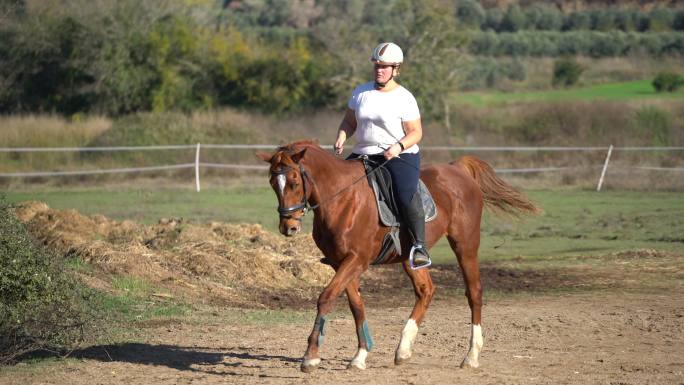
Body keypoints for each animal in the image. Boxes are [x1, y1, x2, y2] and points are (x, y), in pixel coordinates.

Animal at [256, 140, 540, 370]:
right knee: (426, 291)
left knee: (474, 293)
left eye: (294, 182)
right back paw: (403, 350)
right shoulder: (341, 263)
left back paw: (471, 357)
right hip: (410, 258)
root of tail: (457, 169)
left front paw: (311, 357)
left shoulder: (356, 260)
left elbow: (326, 298)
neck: (343, 198)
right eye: (272, 183)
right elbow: (356, 305)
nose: (288, 227)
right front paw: (360, 355)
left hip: (465, 245)